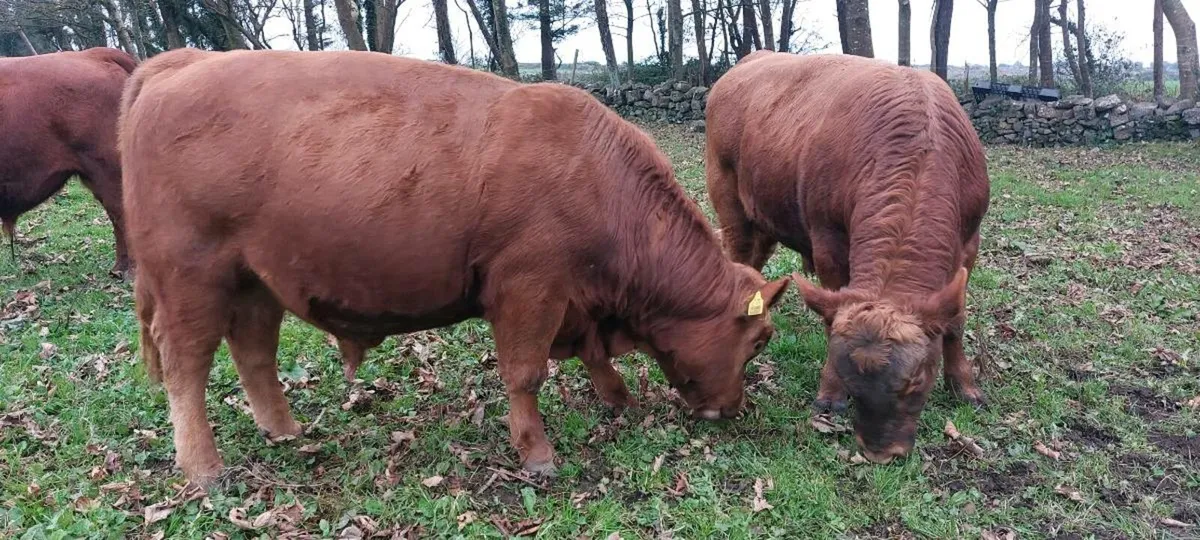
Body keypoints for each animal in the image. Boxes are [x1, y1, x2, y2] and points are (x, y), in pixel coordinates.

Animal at [121, 49, 790, 485]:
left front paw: (618, 398)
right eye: (759, 340)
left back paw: (284, 431)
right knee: (186, 367)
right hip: (190, 277)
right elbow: (525, 374)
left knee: (254, 352)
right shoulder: (529, 288)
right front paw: (537, 454)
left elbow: (592, 356)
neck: (601, 180)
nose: (732, 410)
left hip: (254, 280)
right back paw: (204, 469)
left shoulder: (574, 302)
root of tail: (178, 63)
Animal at [705, 52, 990, 464]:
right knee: (740, 255)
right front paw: (830, 392)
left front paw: (965, 386)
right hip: (730, 201)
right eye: (851, 384)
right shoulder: (828, 242)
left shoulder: (969, 244)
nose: (880, 453)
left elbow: (955, 322)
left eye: (918, 379)